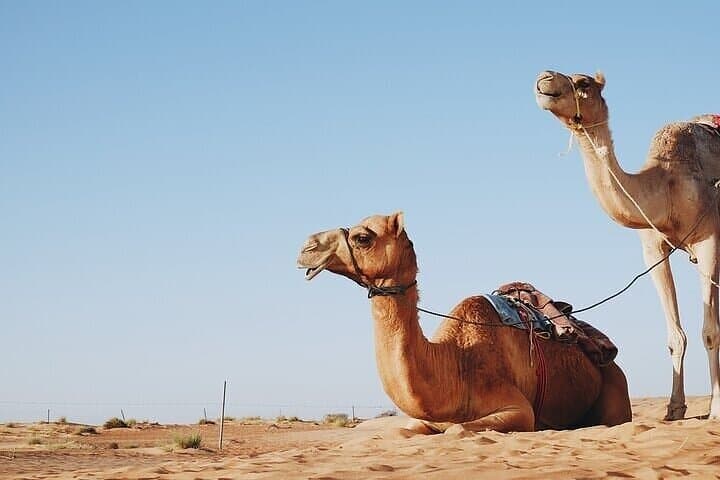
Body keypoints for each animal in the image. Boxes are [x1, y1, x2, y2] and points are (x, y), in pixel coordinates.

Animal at [297, 212, 631, 433]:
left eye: (362, 237)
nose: (306, 248)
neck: (456, 361)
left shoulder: (519, 409)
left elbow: (458, 429)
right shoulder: (423, 419)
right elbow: (405, 430)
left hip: (616, 385)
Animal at [535, 70, 720, 420]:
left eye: (584, 83)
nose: (543, 78)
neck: (666, 185)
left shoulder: (709, 241)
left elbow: (710, 330)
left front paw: (716, 408)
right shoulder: (653, 249)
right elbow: (675, 335)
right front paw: (674, 409)